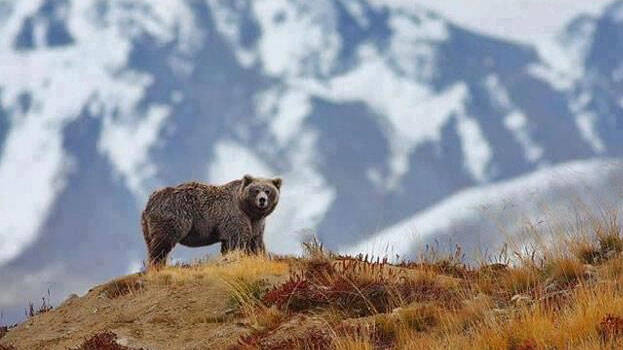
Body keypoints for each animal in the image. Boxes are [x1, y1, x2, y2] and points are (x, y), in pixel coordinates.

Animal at [143, 175, 282, 266]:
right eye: (256, 190)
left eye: (268, 191)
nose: (262, 200)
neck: (248, 210)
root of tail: (151, 200)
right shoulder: (234, 217)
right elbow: (237, 241)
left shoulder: (256, 223)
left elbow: (255, 242)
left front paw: (261, 256)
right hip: (175, 216)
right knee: (162, 243)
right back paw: (157, 264)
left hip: (147, 226)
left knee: (152, 244)